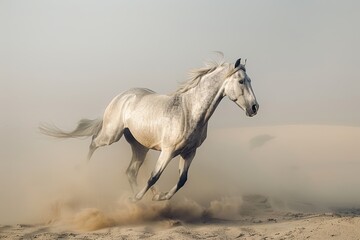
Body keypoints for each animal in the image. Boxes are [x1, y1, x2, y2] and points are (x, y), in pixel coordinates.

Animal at [40, 56, 258, 201]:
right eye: (241, 81)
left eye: (249, 80)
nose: (255, 108)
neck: (190, 111)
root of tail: (121, 96)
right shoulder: (168, 151)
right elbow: (154, 176)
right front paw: (139, 199)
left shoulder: (189, 153)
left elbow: (182, 180)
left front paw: (159, 197)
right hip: (112, 135)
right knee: (94, 141)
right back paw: (82, 172)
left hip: (139, 146)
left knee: (130, 171)